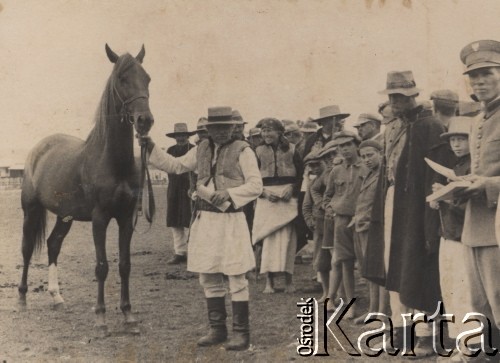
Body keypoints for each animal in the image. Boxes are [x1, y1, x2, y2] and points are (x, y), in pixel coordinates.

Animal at [18, 44, 154, 336]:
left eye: (147, 78)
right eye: (121, 79)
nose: (144, 120)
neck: (113, 161)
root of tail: (38, 149)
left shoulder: (126, 219)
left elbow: (124, 265)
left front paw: (128, 316)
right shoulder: (100, 219)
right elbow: (102, 266)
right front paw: (101, 318)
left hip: (64, 216)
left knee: (53, 245)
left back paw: (57, 297)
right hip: (30, 210)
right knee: (26, 249)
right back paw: (22, 299)